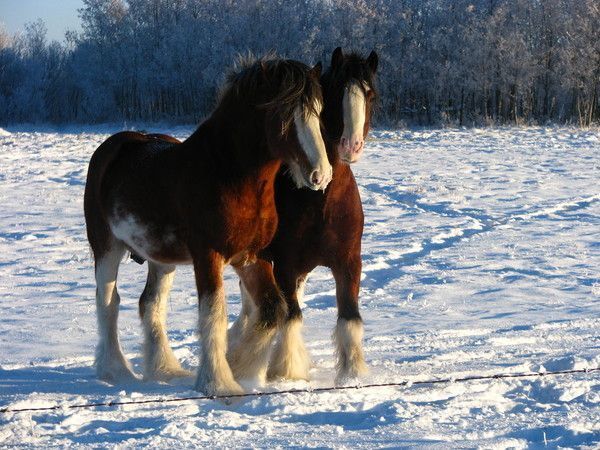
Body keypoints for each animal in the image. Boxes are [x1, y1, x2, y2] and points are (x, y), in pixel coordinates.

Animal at [83, 55, 332, 394]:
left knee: (150, 304)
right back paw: (116, 371)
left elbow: (273, 310)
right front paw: (219, 384)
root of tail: (114, 147)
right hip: (107, 247)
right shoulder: (208, 256)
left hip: (162, 260)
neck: (229, 175)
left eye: (318, 111)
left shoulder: (251, 257)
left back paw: (165, 370)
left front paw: (240, 365)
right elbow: (214, 313)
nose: (321, 174)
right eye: (282, 113)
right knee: (108, 302)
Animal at [227, 46, 378, 384]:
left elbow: (349, 317)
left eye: (370, 94)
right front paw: (287, 372)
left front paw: (352, 373)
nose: (351, 146)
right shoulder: (285, 264)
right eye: (335, 92)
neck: (321, 202)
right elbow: (291, 316)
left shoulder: (348, 263)